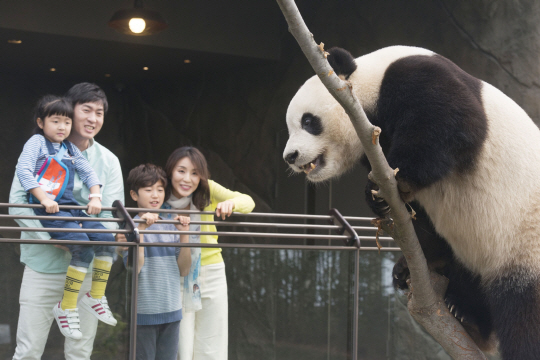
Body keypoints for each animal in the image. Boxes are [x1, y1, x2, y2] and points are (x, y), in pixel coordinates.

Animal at [280, 45, 540, 360]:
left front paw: (393, 181)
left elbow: (451, 123)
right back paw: (466, 316)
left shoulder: (417, 78)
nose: (290, 156)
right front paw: (388, 214)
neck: (368, 87)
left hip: (526, 244)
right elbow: (421, 217)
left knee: (524, 312)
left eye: (308, 121)